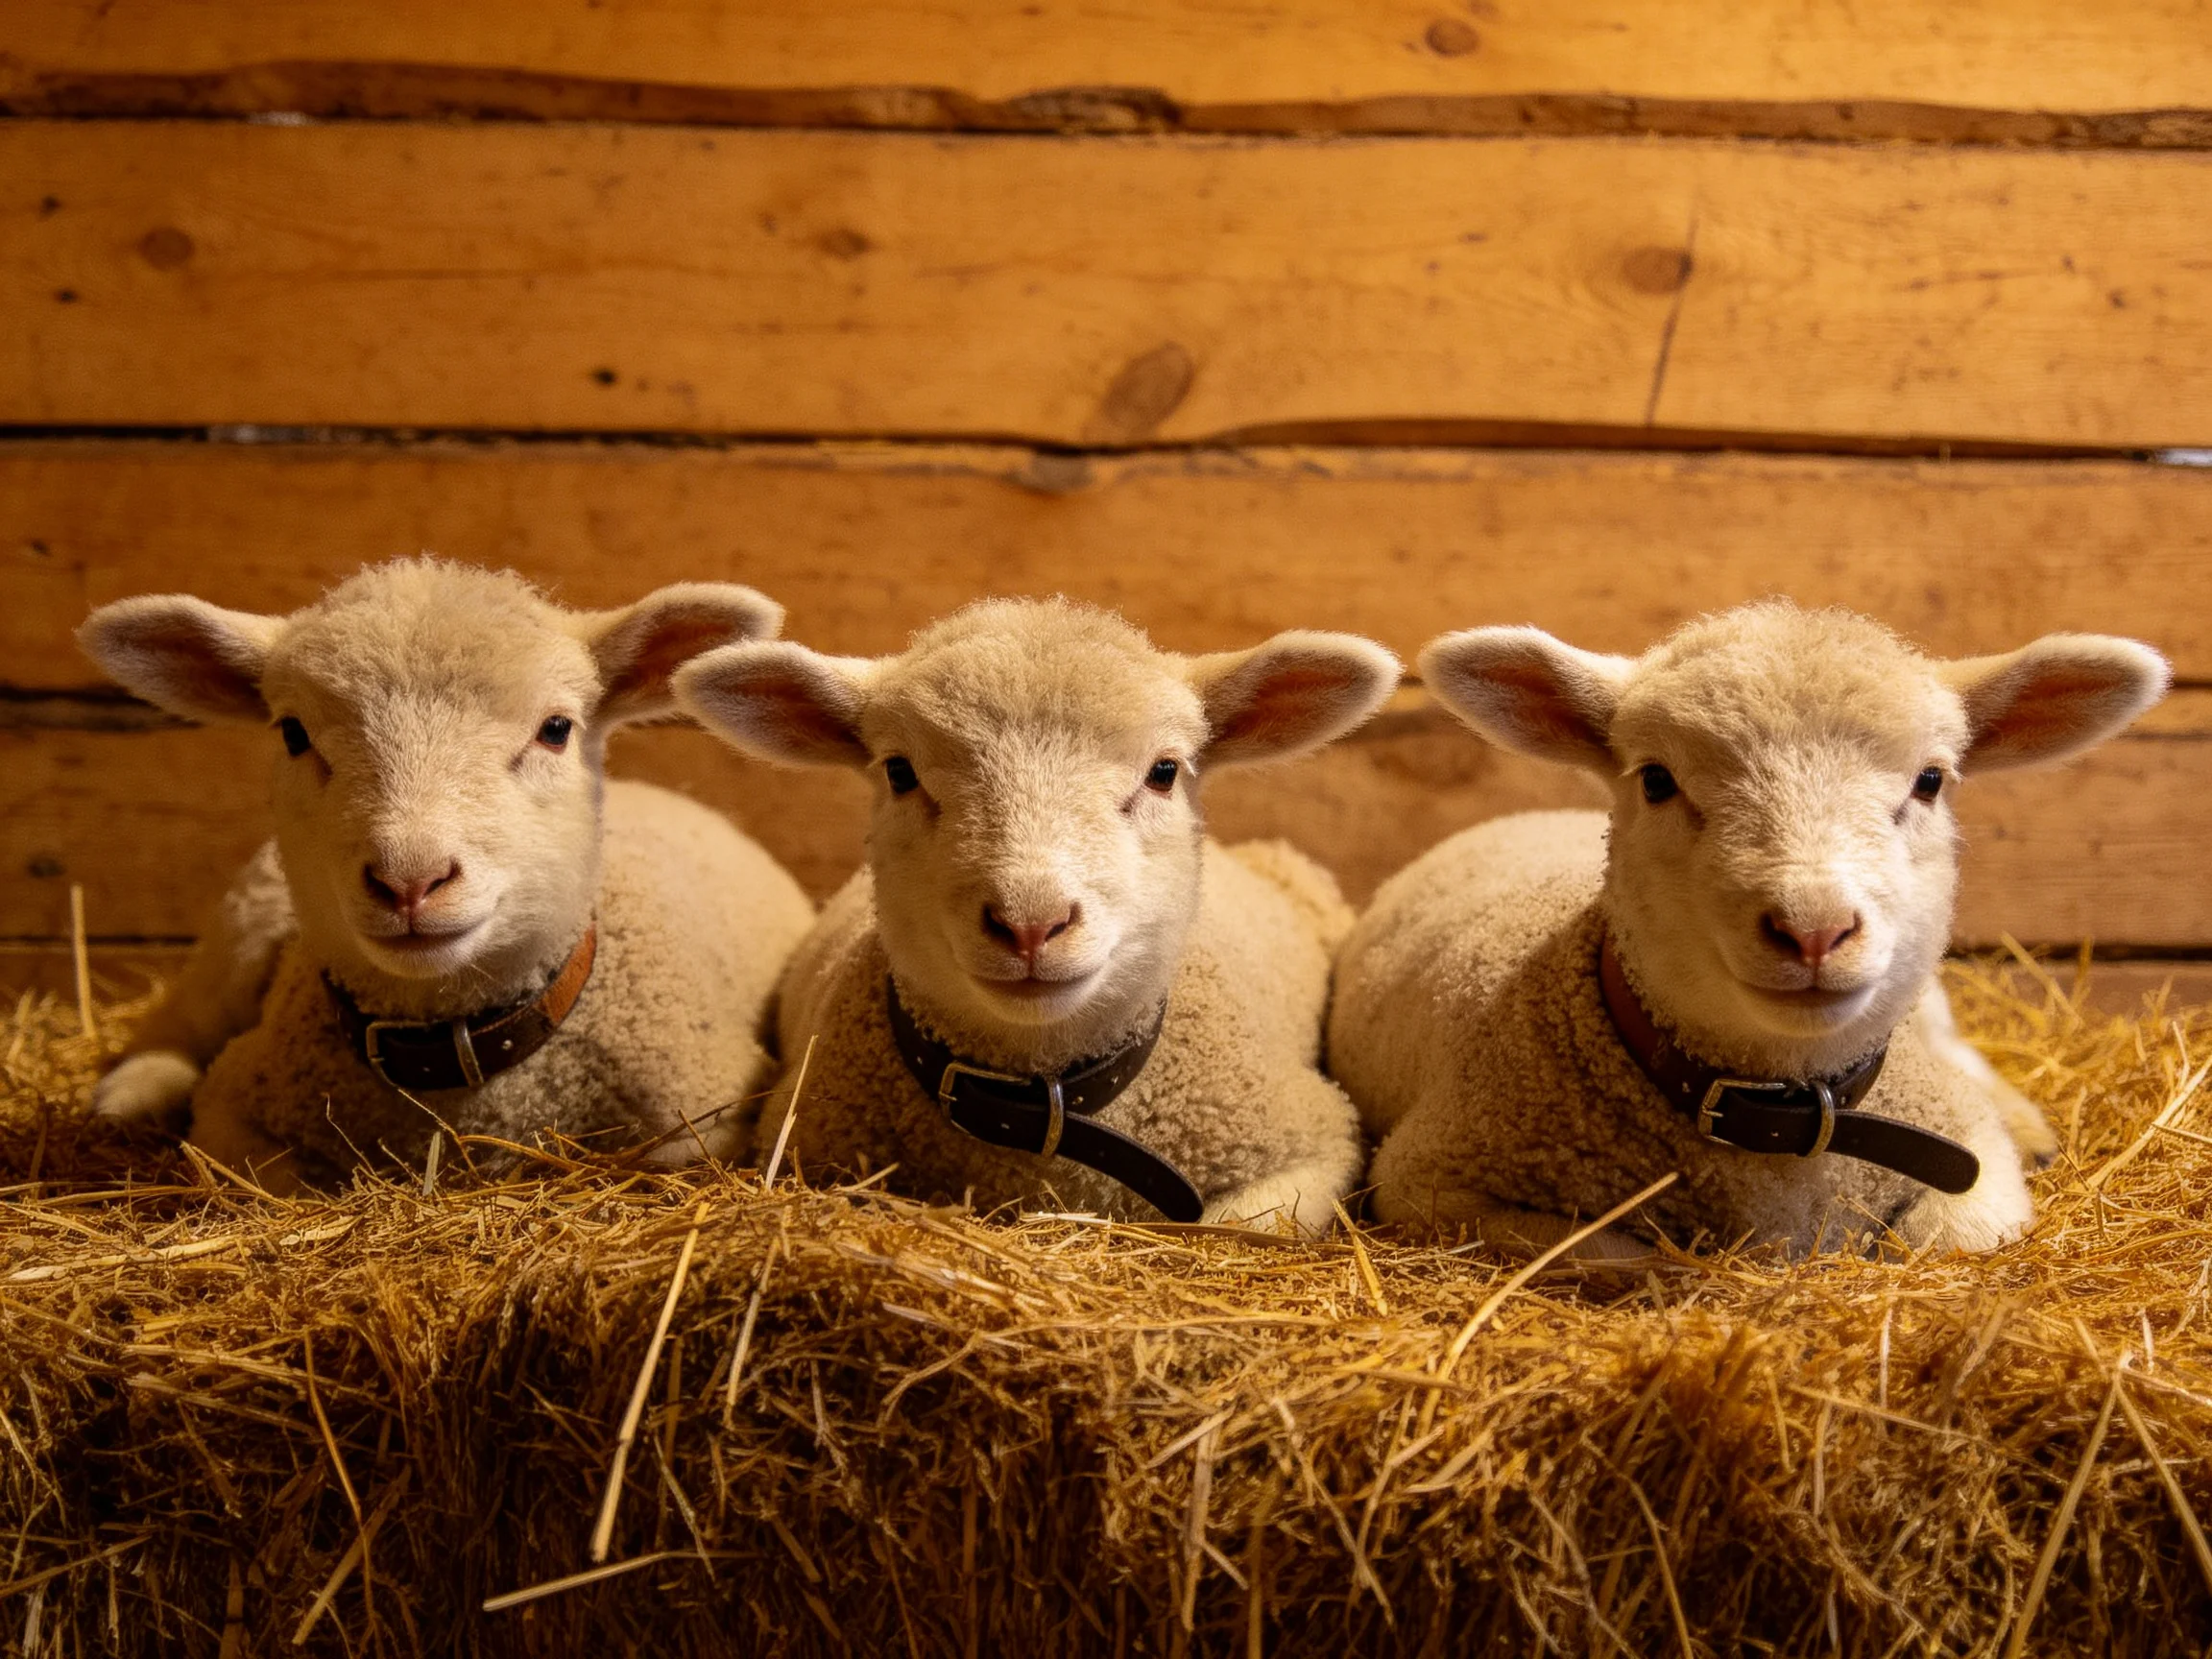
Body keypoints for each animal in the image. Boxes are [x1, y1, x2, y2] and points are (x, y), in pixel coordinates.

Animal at [79, 559, 816, 1193]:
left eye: (556, 729)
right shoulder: (234, 1104)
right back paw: (132, 1094)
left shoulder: (704, 1115)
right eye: (292, 733)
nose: (410, 880)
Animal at [1329, 603, 2169, 1259]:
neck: (1782, 1128)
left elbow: (1955, 1235)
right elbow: (1616, 1254)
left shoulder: (1968, 1152)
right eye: (1657, 780)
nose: (1814, 929)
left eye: (1930, 781)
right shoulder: (1428, 1182)